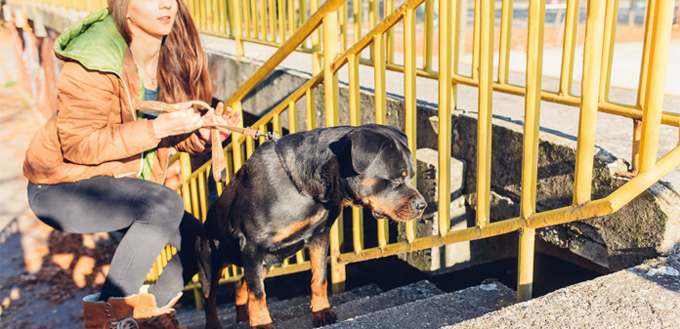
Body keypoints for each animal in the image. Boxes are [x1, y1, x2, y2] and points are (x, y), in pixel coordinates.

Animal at [195, 123, 424, 328]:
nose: (423, 205)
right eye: (395, 180)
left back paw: (242, 317)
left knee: (241, 285)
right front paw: (261, 325)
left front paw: (322, 312)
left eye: (412, 175)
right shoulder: (252, 245)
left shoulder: (320, 235)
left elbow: (319, 277)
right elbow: (258, 294)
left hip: (265, 263)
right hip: (210, 263)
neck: (308, 190)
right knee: (211, 299)